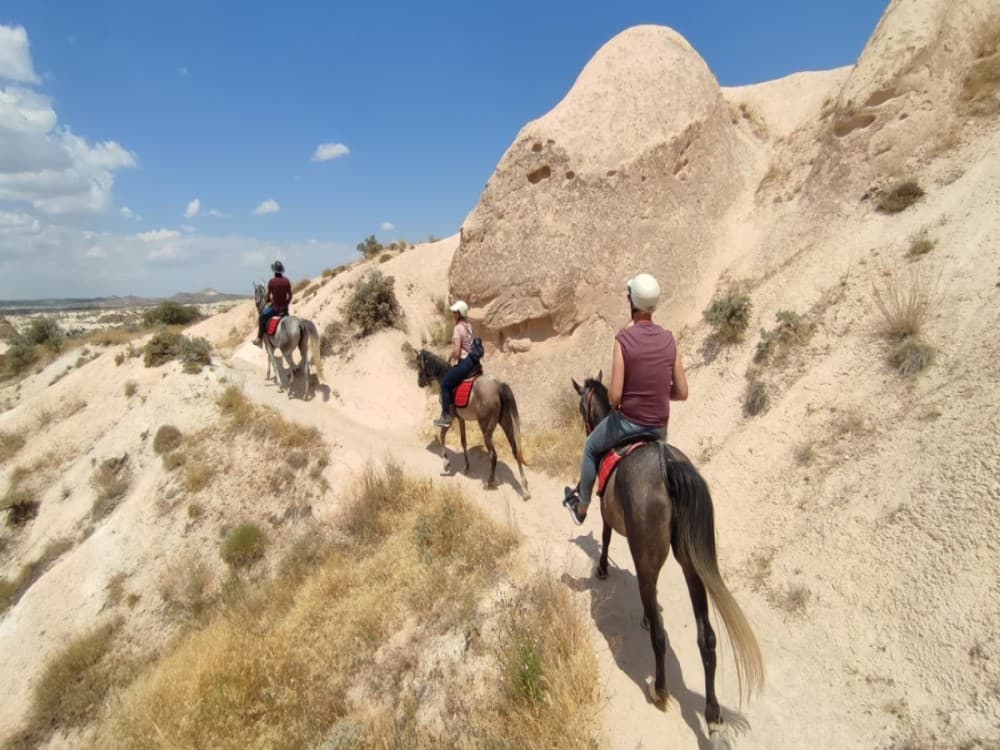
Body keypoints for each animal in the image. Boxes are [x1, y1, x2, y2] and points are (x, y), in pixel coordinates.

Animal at [416, 349, 530, 498]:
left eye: (419, 365)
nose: (419, 382)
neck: (443, 375)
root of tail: (498, 385)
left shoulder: (450, 418)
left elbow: (442, 435)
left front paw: (446, 463)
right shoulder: (461, 419)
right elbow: (463, 441)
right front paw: (466, 467)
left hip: (486, 428)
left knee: (494, 455)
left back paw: (489, 482)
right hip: (506, 422)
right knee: (515, 450)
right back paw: (525, 488)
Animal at [572, 374, 763, 747]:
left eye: (580, 406)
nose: (584, 428)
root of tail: (667, 466)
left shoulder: (606, 511)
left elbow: (605, 537)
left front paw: (601, 569)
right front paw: (648, 612)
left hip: (650, 558)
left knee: (661, 637)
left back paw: (660, 691)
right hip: (692, 565)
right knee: (707, 638)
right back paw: (712, 718)